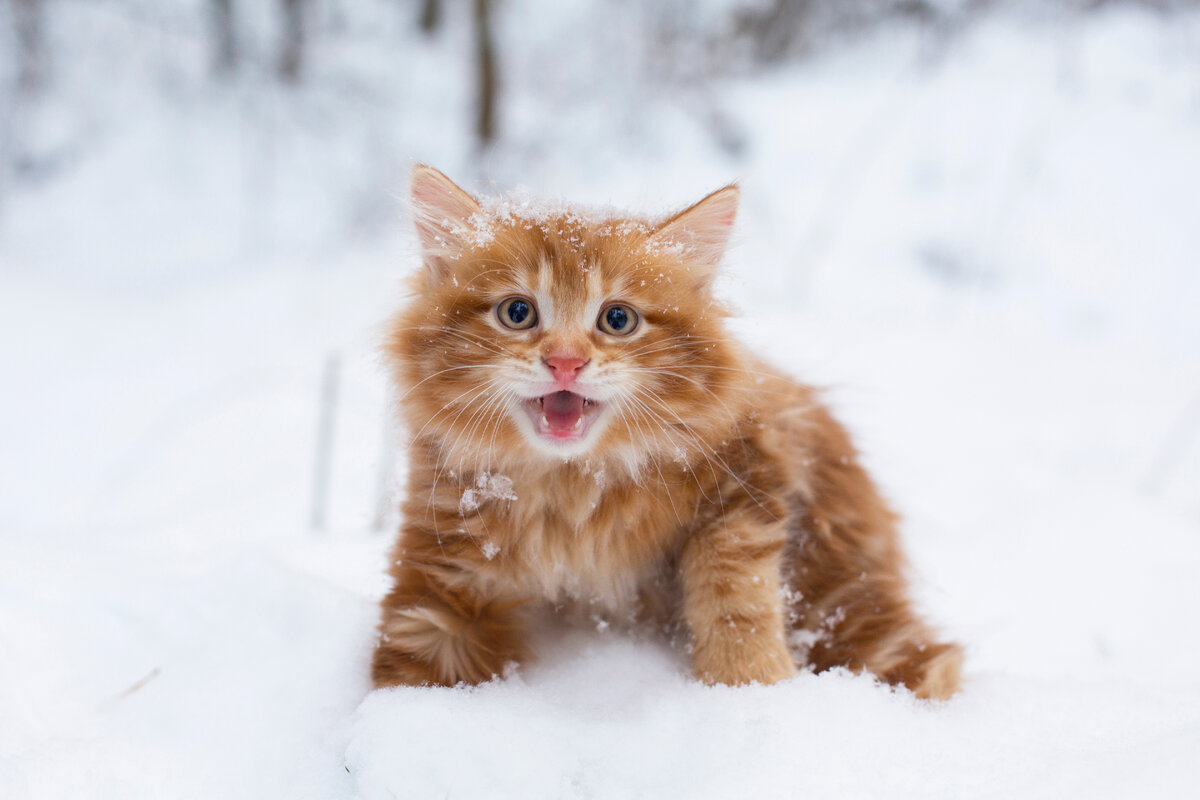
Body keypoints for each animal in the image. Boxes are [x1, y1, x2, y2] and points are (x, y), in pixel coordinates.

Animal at [369, 167, 960, 700]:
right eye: (517, 312)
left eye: (617, 320)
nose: (565, 362)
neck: (573, 488)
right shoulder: (440, 560)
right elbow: (416, 654)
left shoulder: (748, 481)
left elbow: (733, 589)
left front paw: (750, 685)